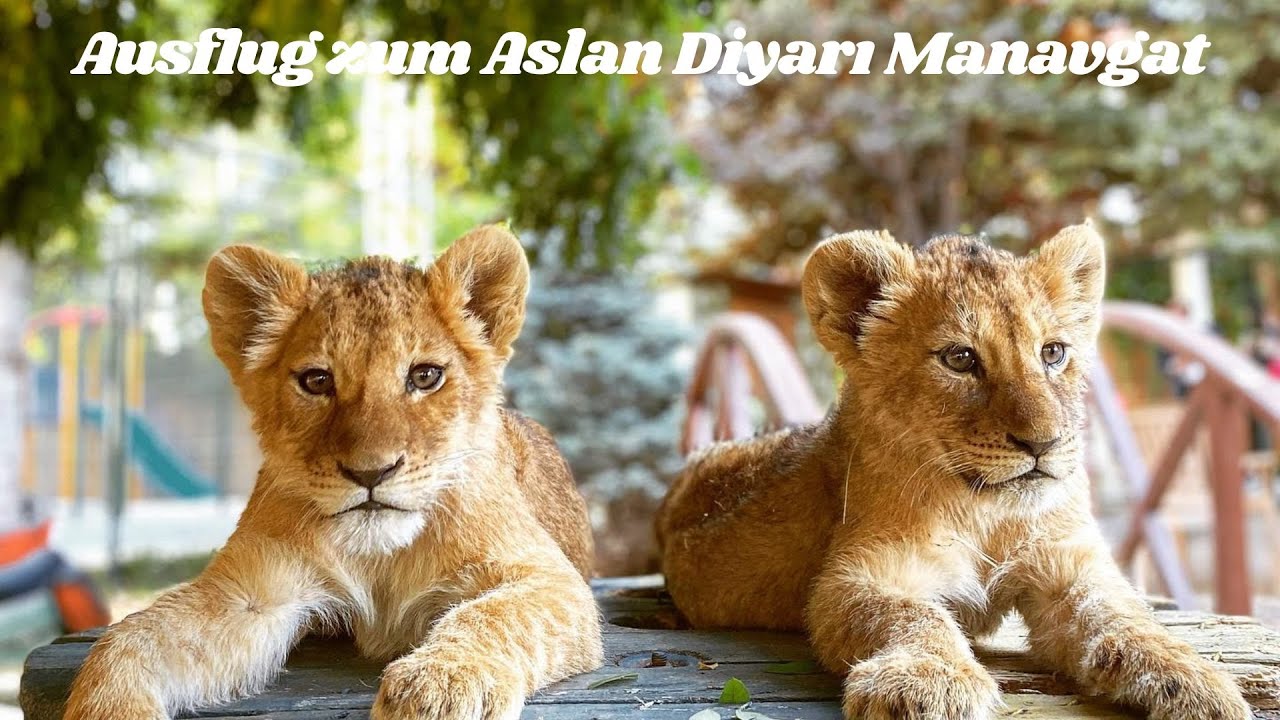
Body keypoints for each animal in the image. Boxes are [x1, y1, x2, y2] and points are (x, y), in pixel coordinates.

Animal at [64, 225, 603, 720]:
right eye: (317, 380)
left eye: (425, 376)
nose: (371, 472)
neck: (379, 559)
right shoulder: (248, 594)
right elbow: (128, 639)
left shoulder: (548, 577)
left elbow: (494, 615)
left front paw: (441, 683)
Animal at [656, 224, 1252, 720]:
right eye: (960, 359)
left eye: (1053, 353)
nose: (1043, 443)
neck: (988, 511)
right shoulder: (858, 573)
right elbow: (909, 615)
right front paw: (930, 682)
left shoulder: (1069, 566)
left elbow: (1123, 615)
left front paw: (1194, 679)